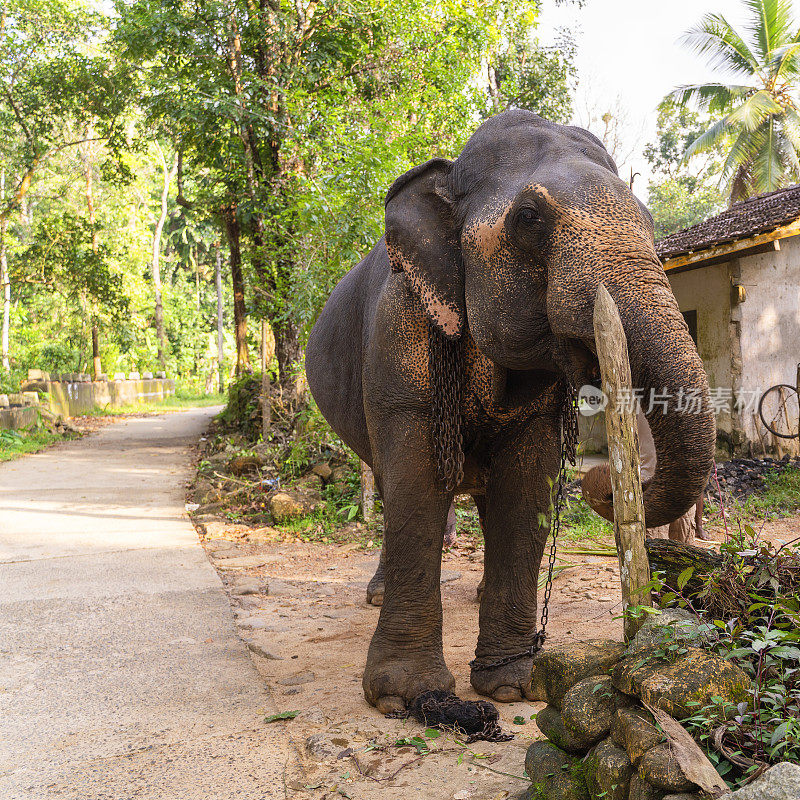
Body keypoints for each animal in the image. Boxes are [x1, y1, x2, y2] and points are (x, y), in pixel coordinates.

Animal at [304, 106, 712, 712]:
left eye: (648, 217)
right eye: (529, 219)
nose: (600, 483)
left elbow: (525, 489)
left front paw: (512, 684)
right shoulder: (401, 326)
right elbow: (418, 481)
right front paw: (405, 698)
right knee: (390, 476)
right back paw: (378, 595)